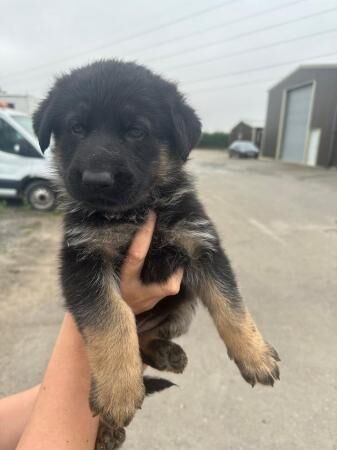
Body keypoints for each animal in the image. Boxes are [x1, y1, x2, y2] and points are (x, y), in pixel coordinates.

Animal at [33, 60, 278, 450]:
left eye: (136, 131)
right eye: (76, 128)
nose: (96, 179)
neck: (135, 212)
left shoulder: (202, 245)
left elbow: (231, 305)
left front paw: (255, 354)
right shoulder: (82, 260)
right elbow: (112, 318)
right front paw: (119, 391)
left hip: (182, 311)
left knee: (147, 336)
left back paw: (166, 353)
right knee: (135, 335)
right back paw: (108, 428)